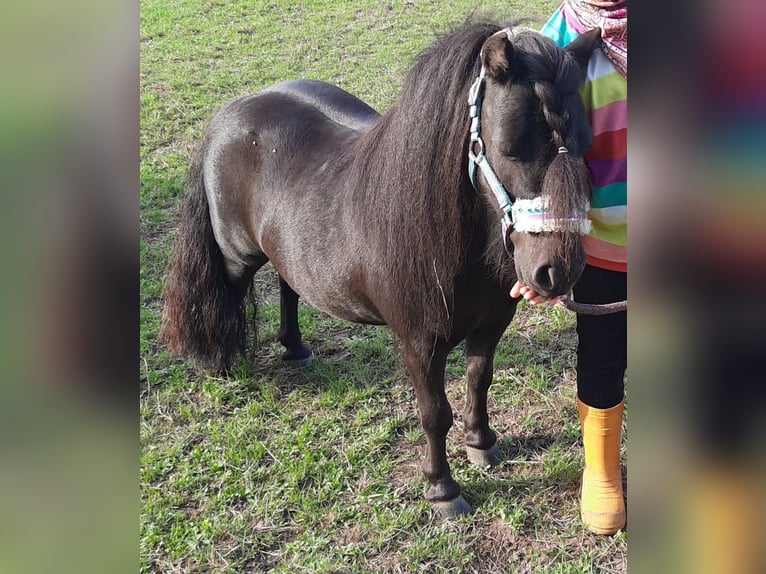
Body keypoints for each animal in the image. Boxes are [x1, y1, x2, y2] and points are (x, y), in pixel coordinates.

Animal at [160, 21, 601, 517]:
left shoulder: (491, 324)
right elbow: (434, 413)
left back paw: (295, 347)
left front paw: (481, 443)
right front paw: (442, 489)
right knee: (228, 295)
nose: (556, 270)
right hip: (236, 258)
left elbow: (479, 380)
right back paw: (222, 361)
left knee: (289, 285)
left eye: (585, 146)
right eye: (511, 149)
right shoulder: (419, 342)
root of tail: (229, 113)